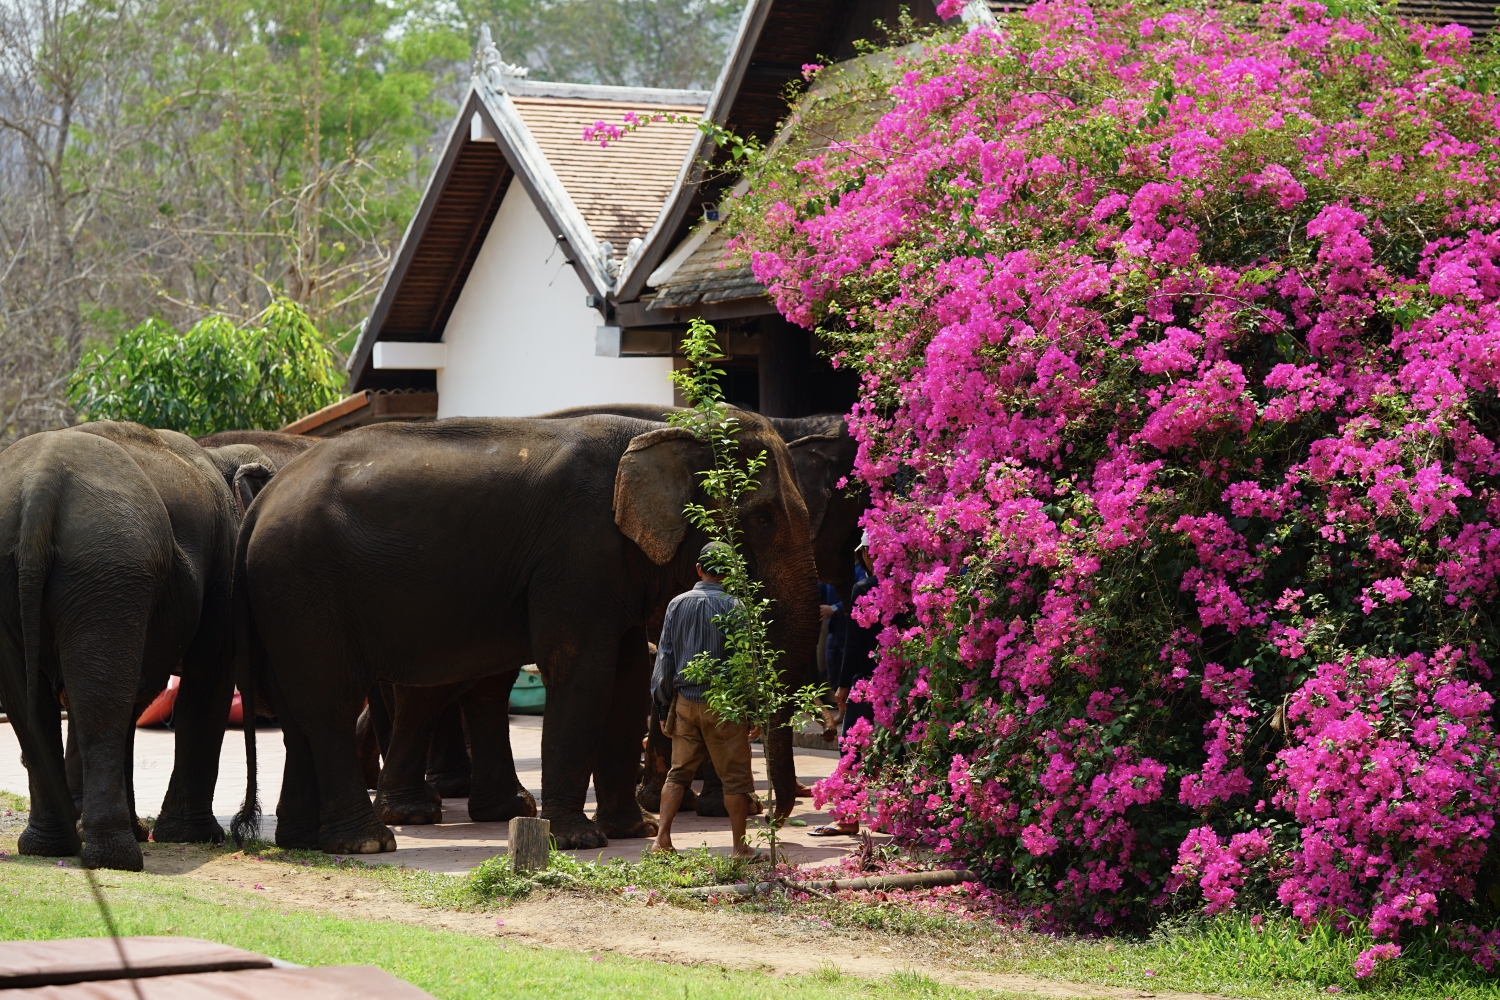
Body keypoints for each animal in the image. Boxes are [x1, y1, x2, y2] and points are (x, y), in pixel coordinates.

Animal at [0, 419, 273, 869]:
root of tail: (40, 488)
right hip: (108, 564)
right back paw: (117, 857)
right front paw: (196, 837)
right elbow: (209, 673)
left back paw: (51, 846)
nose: (243, 826)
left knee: (40, 705)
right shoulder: (222, 564)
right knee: (102, 702)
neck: (218, 455)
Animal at [232, 410, 822, 857]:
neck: (662, 430)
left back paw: (302, 841)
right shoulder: (577, 551)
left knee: (296, 716)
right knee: (328, 701)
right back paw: (370, 843)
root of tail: (258, 504)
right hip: (302, 585)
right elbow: (582, 670)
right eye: (763, 517)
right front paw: (580, 840)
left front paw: (634, 831)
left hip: (280, 598)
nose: (774, 819)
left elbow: (629, 676)